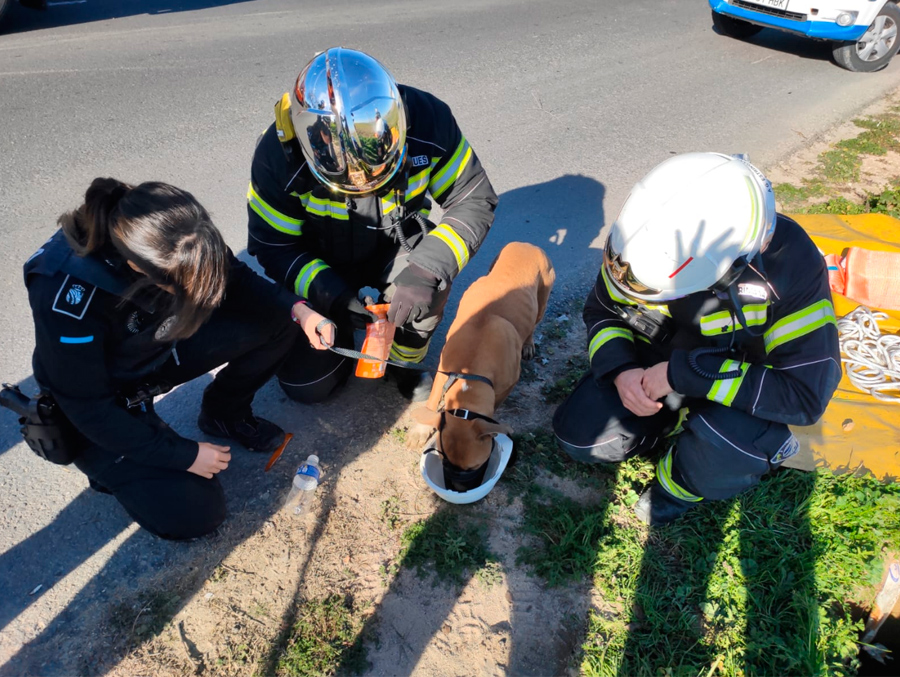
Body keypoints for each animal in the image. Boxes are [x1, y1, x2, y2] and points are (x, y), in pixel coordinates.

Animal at [410, 243, 552, 476]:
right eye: (444, 459)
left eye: (475, 467)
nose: (456, 480)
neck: (472, 369)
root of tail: (529, 245)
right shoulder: (444, 371)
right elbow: (432, 400)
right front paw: (422, 428)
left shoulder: (506, 385)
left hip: (543, 297)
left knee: (534, 323)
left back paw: (529, 344)